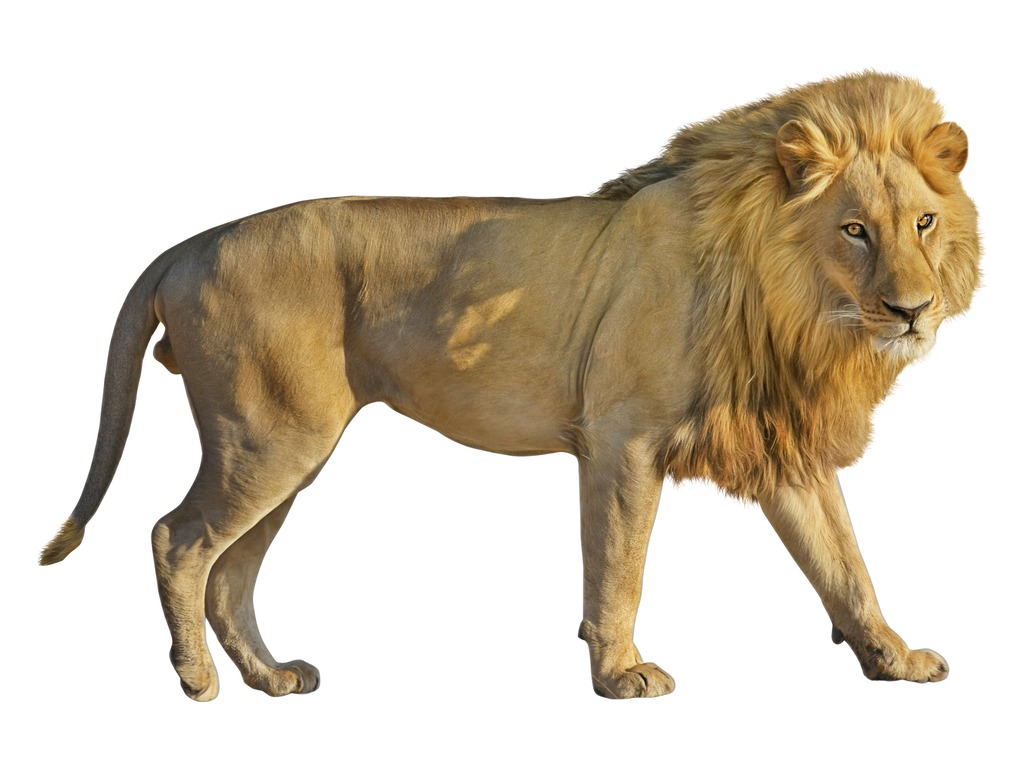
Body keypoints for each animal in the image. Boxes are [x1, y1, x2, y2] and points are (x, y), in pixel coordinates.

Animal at [40, 72, 980, 701]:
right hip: (271, 437)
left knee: (231, 570)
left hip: (286, 449)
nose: (912, 310)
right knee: (178, 539)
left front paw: (894, 660)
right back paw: (196, 681)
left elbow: (845, 564)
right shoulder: (622, 437)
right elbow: (619, 566)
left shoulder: (781, 445)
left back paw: (271, 678)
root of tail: (189, 243)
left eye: (924, 222)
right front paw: (621, 673)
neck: (793, 306)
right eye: (854, 230)